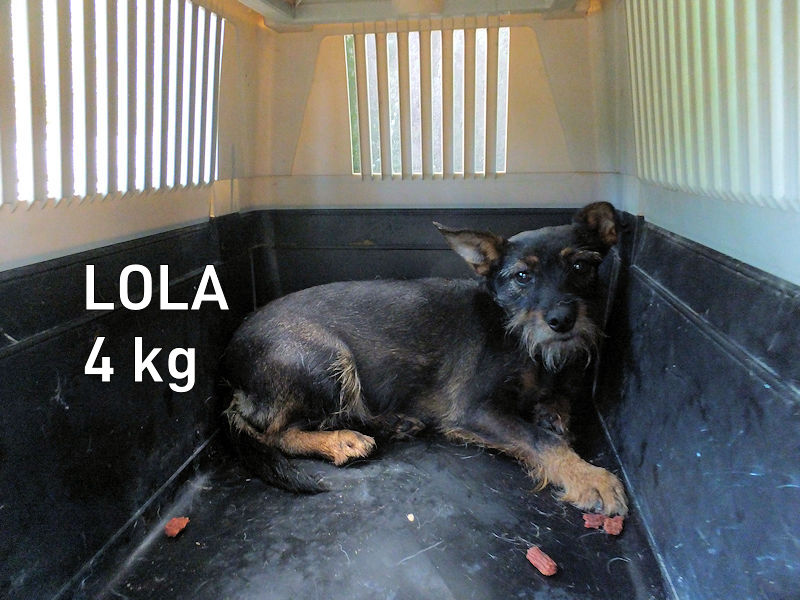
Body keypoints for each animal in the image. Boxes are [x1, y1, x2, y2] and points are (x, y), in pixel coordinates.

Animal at [221, 202, 627, 516]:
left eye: (581, 267)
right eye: (522, 276)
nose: (562, 320)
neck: (518, 334)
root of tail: (229, 364)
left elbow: (557, 404)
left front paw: (553, 412)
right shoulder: (473, 409)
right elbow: (541, 440)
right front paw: (590, 477)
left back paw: (393, 423)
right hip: (326, 358)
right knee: (274, 432)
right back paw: (341, 441)